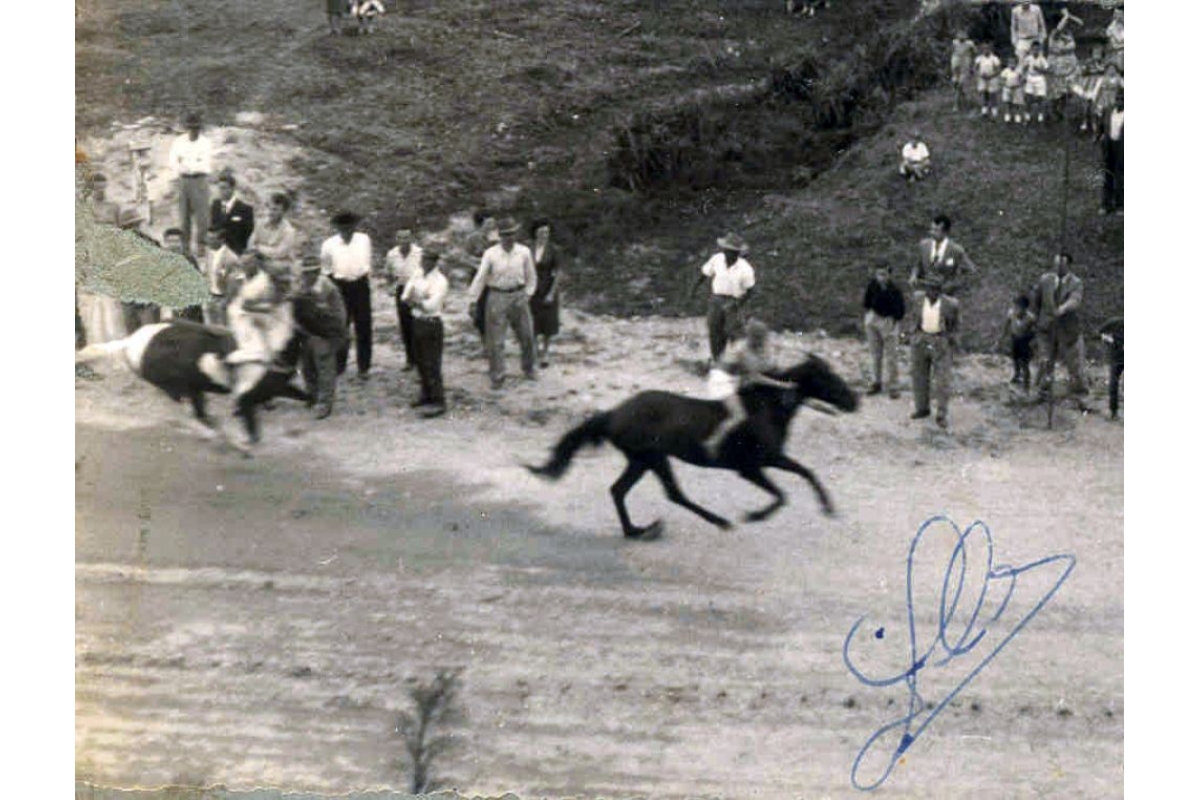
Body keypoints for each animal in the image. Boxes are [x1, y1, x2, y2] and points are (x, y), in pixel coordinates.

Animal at [73, 321, 309, 455]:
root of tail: (129, 343)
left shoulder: (272, 388)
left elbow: (300, 396)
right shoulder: (247, 396)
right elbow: (250, 424)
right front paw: (246, 444)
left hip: (187, 390)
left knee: (194, 414)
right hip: (179, 388)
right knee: (194, 415)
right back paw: (221, 436)